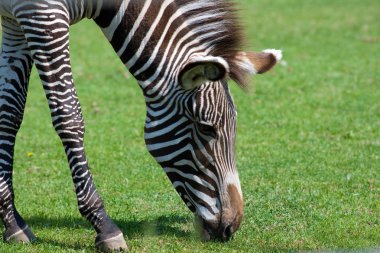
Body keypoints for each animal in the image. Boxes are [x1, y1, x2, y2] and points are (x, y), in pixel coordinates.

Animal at [0, 0, 280, 251]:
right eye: (206, 128)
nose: (231, 227)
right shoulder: (41, 14)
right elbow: (68, 114)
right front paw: (103, 225)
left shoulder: (16, 21)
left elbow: (9, 113)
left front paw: (12, 222)